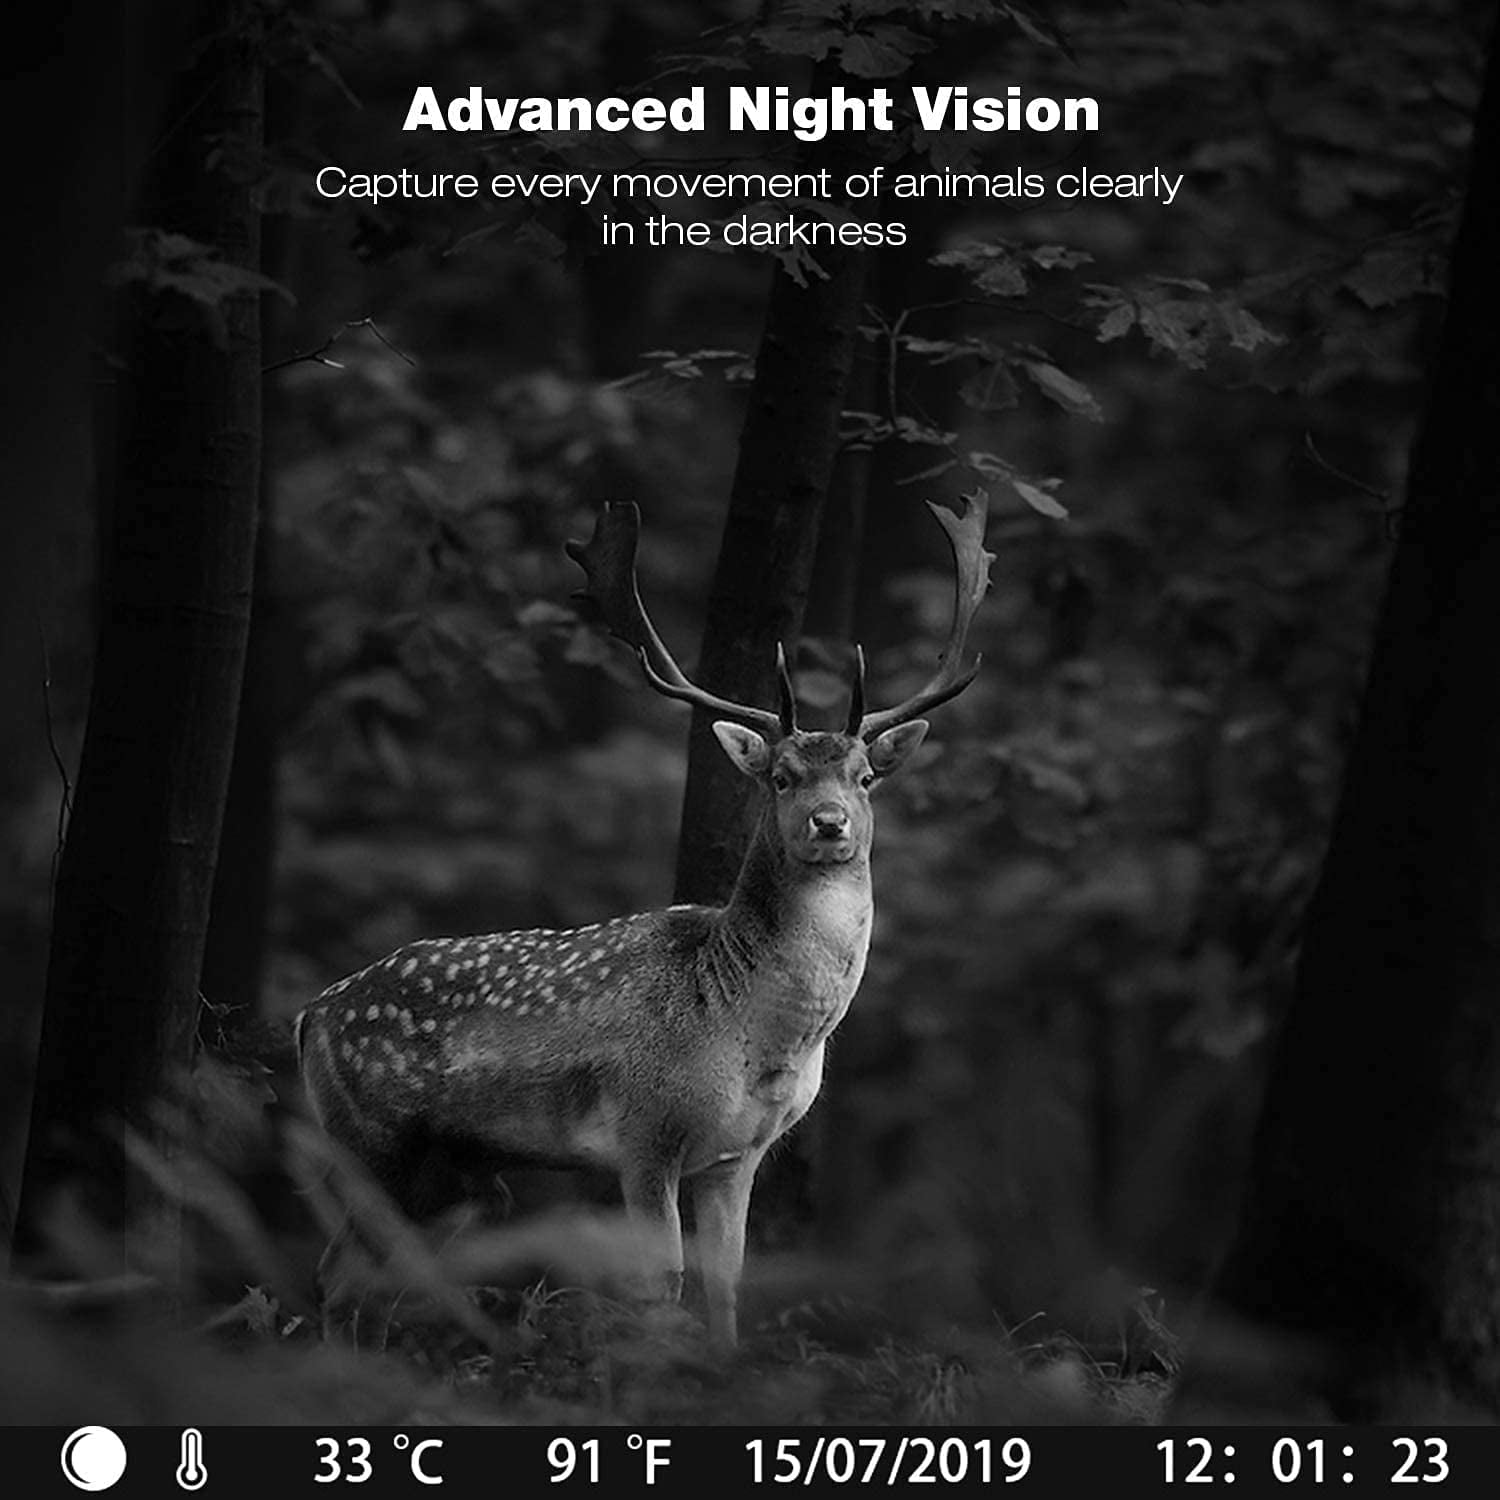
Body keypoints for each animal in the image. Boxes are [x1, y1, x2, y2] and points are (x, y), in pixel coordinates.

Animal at [295, 490, 993, 1347]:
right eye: (782, 776)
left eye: (865, 777)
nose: (830, 823)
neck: (759, 1035)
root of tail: (309, 1015)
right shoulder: (643, 1131)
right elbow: (663, 1284)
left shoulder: (740, 1154)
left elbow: (727, 1285)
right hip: (370, 1137)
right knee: (336, 1272)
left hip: (451, 1170)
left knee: (369, 1273)